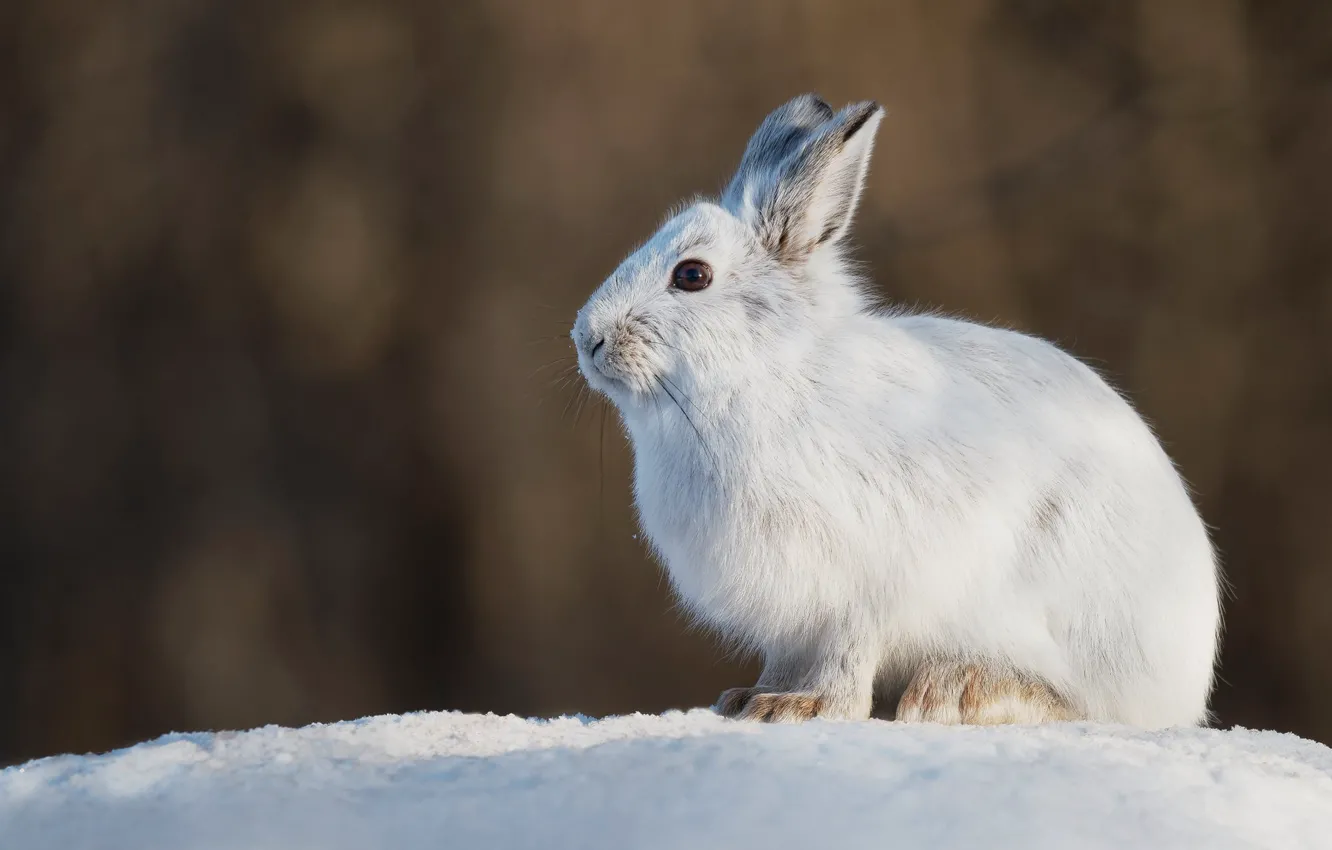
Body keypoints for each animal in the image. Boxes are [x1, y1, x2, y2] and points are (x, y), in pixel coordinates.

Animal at [571, 93, 1222, 727]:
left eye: (692, 275)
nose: (587, 339)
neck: (764, 374)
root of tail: (1186, 682)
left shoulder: (865, 588)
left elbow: (848, 656)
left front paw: (808, 708)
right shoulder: (792, 617)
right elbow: (787, 658)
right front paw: (751, 699)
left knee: (1083, 703)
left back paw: (958, 693)